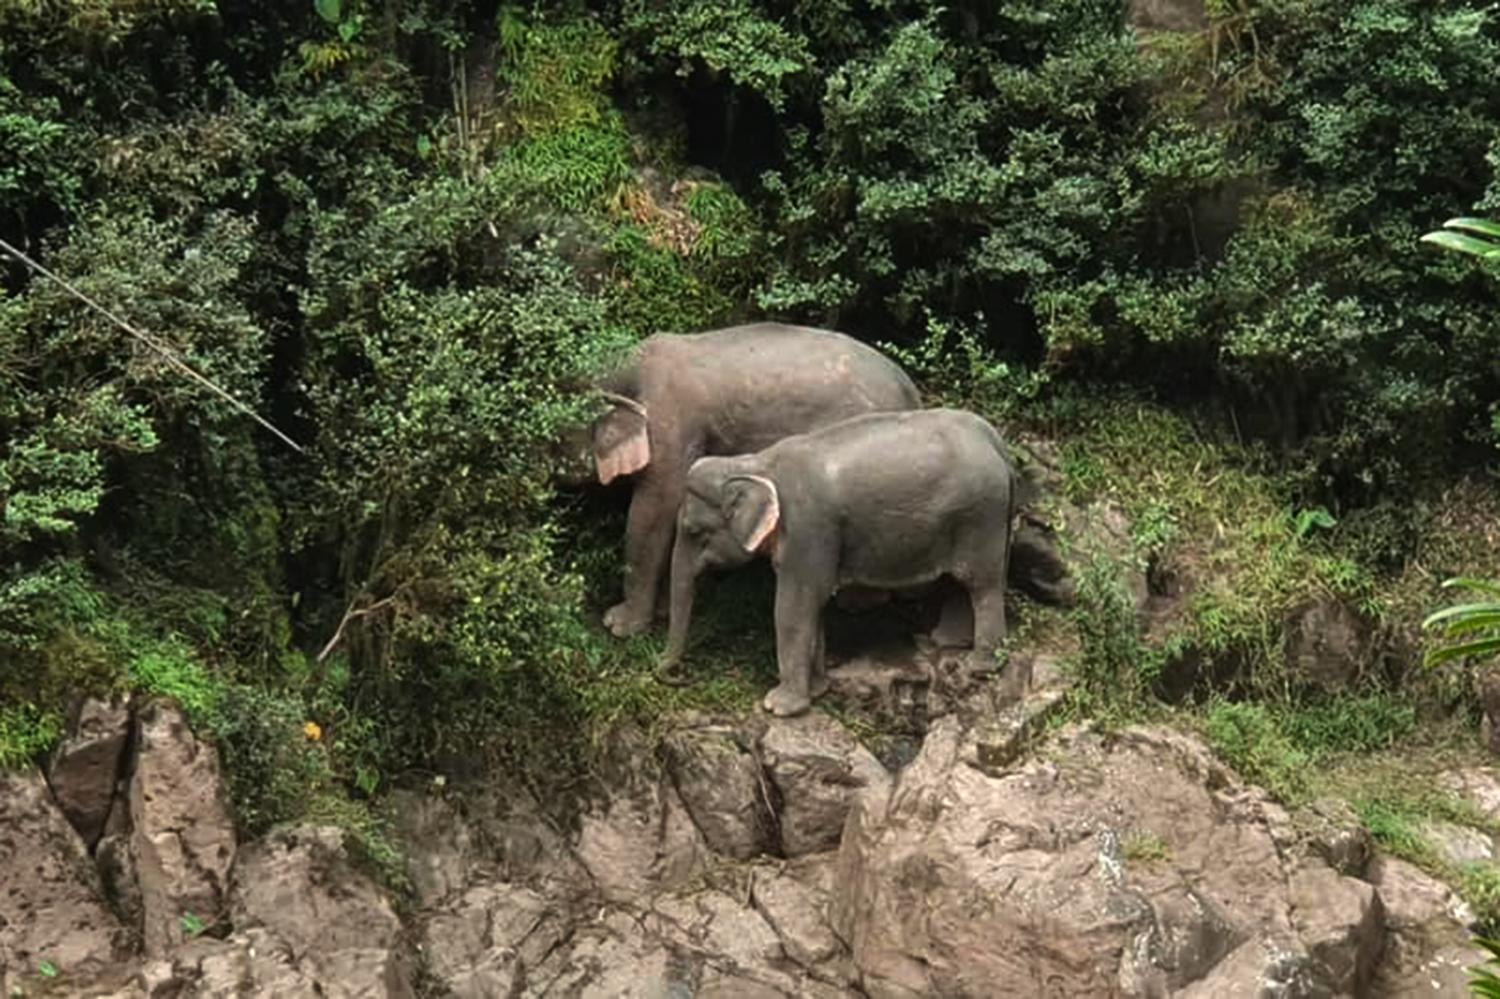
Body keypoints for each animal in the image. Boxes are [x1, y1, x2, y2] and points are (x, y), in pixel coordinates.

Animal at [567, 322, 918, 633]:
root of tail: (910, 388)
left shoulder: (670, 422)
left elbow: (654, 508)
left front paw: (619, 625)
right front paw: (662, 611)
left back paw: (856, 604)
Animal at [669, 408, 1032, 717]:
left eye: (693, 530)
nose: (673, 674)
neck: (755, 465)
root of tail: (998, 444)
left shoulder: (809, 530)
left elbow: (794, 606)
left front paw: (779, 707)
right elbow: (811, 606)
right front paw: (817, 691)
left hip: (980, 516)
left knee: (980, 585)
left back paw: (978, 666)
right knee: (966, 582)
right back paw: (944, 642)